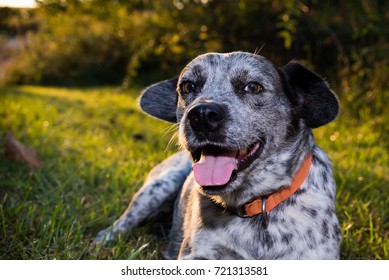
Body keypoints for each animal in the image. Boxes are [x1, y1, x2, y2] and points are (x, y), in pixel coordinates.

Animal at [95, 51, 342, 260]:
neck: (255, 204)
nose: (202, 115)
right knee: (123, 222)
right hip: (158, 187)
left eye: (253, 87)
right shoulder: (197, 255)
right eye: (187, 86)